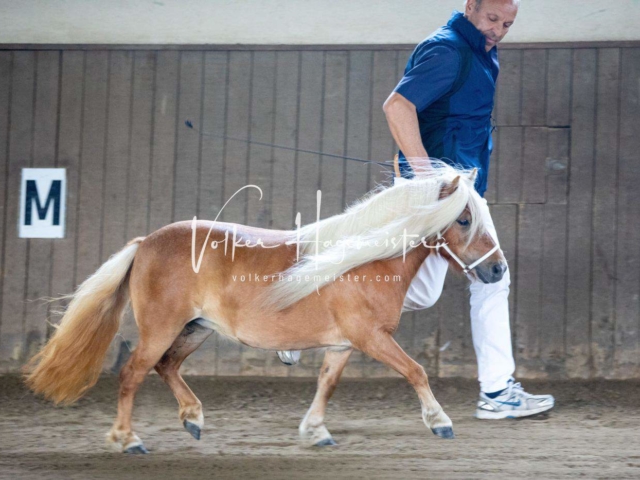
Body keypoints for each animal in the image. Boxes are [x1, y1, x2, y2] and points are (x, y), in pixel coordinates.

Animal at [25, 160, 504, 454]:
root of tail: (146, 243)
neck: (363, 259)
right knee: (132, 374)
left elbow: (327, 385)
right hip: (162, 329)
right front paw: (439, 421)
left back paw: (193, 419)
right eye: (464, 219)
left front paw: (315, 432)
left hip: (196, 328)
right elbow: (416, 371)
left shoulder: (343, 344)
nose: (497, 270)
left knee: (167, 367)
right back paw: (128, 440)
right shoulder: (371, 338)